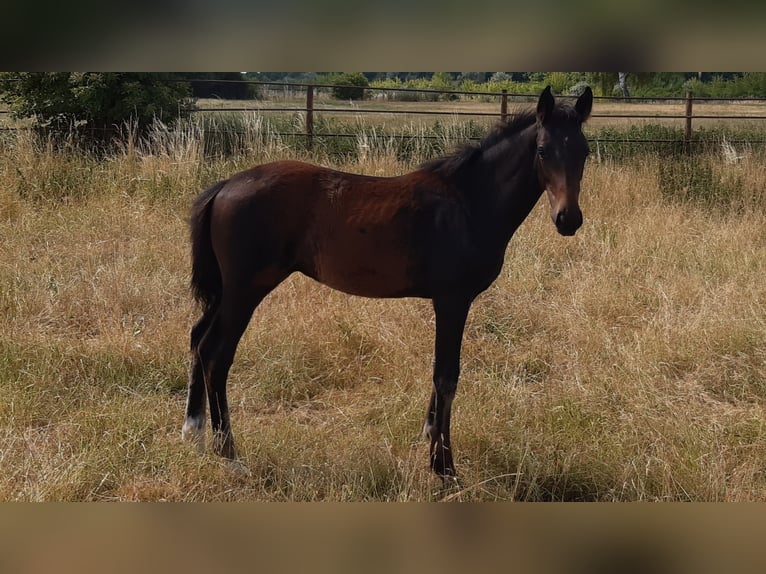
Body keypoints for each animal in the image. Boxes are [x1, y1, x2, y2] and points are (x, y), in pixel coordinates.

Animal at [183, 86, 596, 482]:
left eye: (585, 151)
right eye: (542, 150)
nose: (568, 219)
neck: (469, 203)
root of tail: (225, 185)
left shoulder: (449, 302)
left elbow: (440, 375)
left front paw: (429, 437)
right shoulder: (452, 300)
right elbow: (447, 376)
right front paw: (444, 468)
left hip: (227, 291)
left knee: (198, 340)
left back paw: (193, 433)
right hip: (245, 290)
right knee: (217, 353)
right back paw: (229, 455)